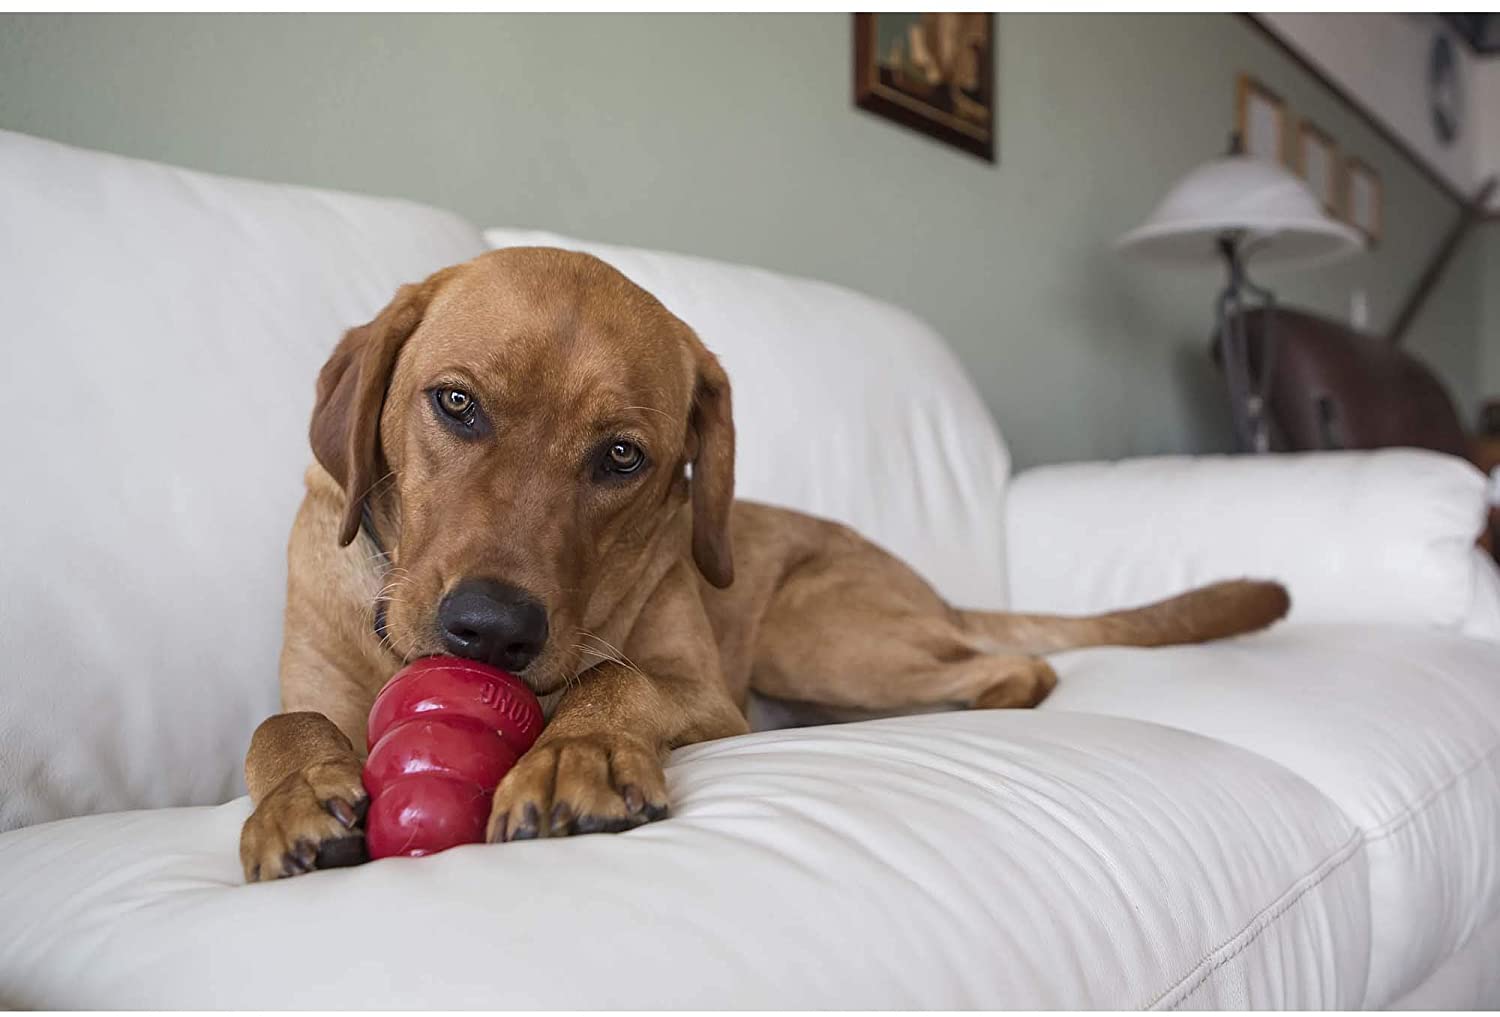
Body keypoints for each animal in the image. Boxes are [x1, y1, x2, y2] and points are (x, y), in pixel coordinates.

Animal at [237, 249, 1290, 882]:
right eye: (455, 403)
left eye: (622, 457)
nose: (491, 630)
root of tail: (933, 591)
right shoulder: (315, 690)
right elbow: (282, 722)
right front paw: (295, 796)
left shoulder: (706, 693)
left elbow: (615, 680)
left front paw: (578, 750)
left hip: (808, 633)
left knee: (1016, 668)